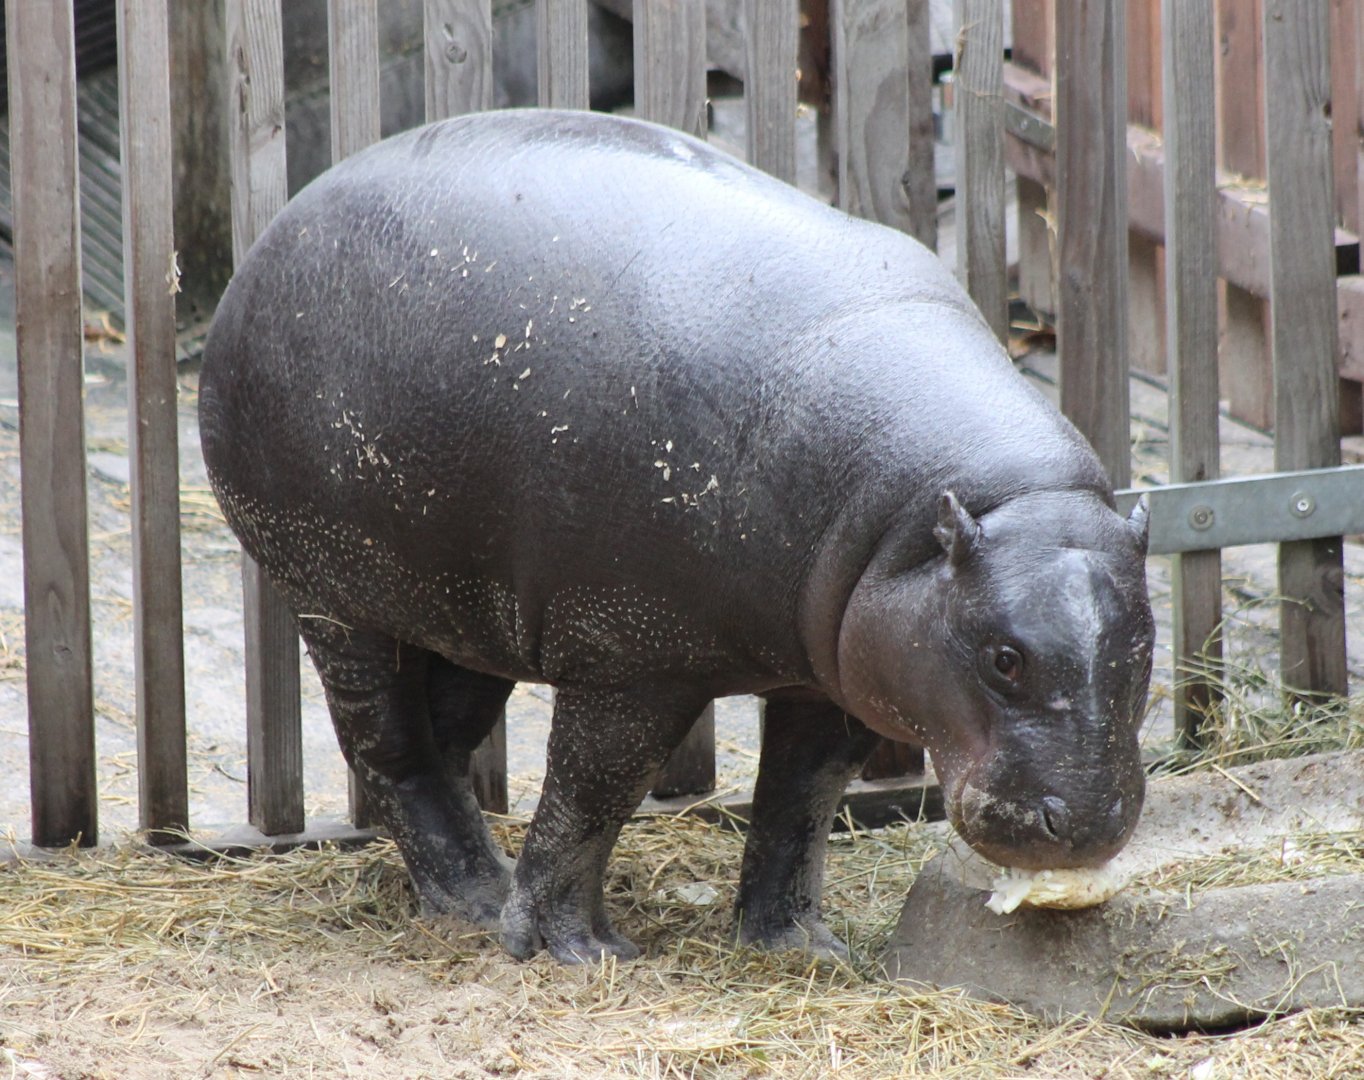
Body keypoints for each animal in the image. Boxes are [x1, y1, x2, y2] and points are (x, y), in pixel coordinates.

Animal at [199, 108, 1155, 964]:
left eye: (1146, 644)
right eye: (1004, 658)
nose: (1088, 825)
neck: (961, 509)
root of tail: (274, 233)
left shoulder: (835, 677)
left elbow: (800, 799)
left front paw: (800, 947)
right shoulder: (630, 664)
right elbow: (592, 794)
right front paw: (577, 952)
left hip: (464, 608)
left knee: (444, 738)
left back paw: (457, 887)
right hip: (331, 596)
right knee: (387, 746)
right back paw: (472, 899)